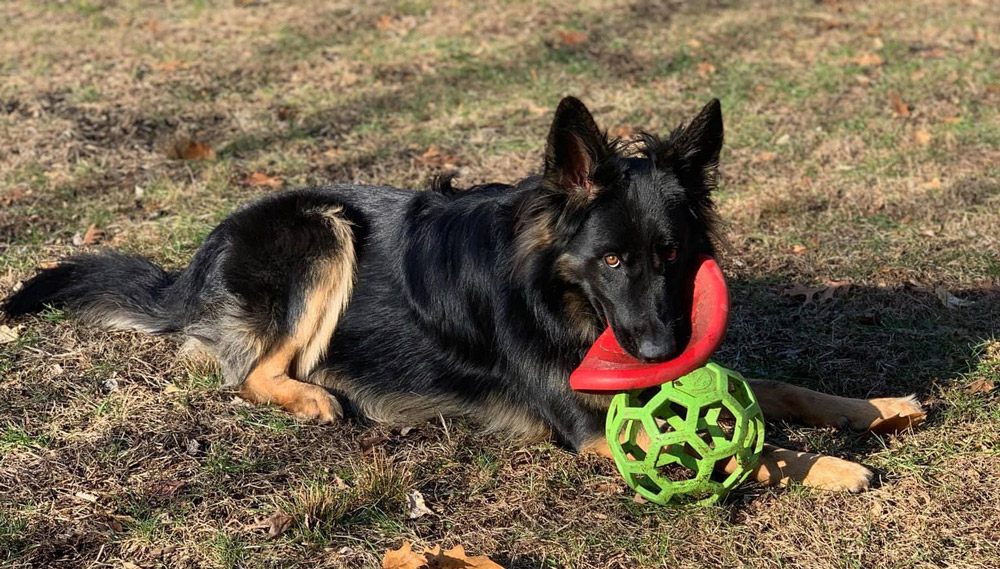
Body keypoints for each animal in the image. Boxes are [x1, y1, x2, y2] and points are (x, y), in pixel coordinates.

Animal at [1, 95, 920, 490]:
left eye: (672, 255)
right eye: (611, 259)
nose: (660, 348)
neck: (555, 289)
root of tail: (192, 266)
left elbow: (778, 390)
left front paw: (877, 406)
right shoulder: (596, 427)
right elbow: (745, 448)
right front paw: (836, 465)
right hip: (320, 229)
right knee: (252, 372)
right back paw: (317, 397)